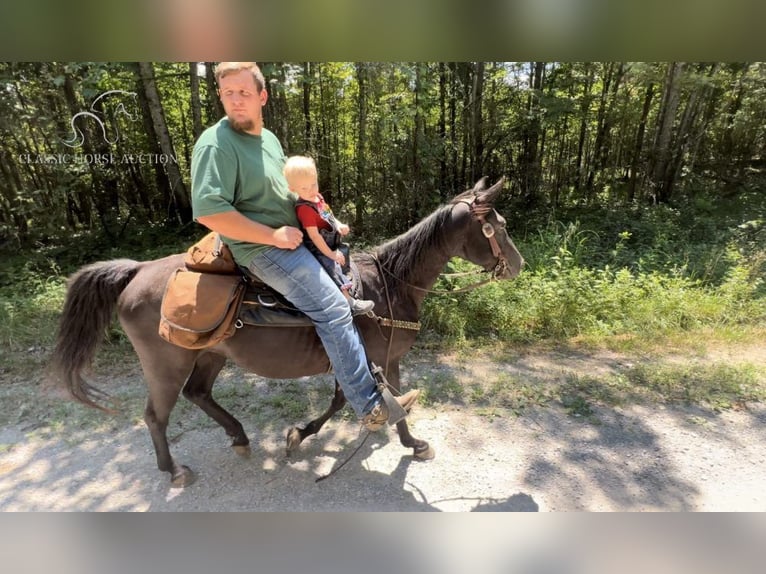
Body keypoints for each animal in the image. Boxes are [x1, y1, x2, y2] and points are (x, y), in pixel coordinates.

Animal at [51, 179, 524, 486]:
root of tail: (137, 271)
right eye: (498, 225)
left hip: (210, 354)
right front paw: (405, 439)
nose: (518, 265)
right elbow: (365, 398)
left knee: (198, 393)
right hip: (166, 362)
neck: (389, 285)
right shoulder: (369, 354)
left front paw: (401, 440)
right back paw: (175, 471)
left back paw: (240, 438)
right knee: (157, 415)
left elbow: (358, 398)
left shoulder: (378, 356)